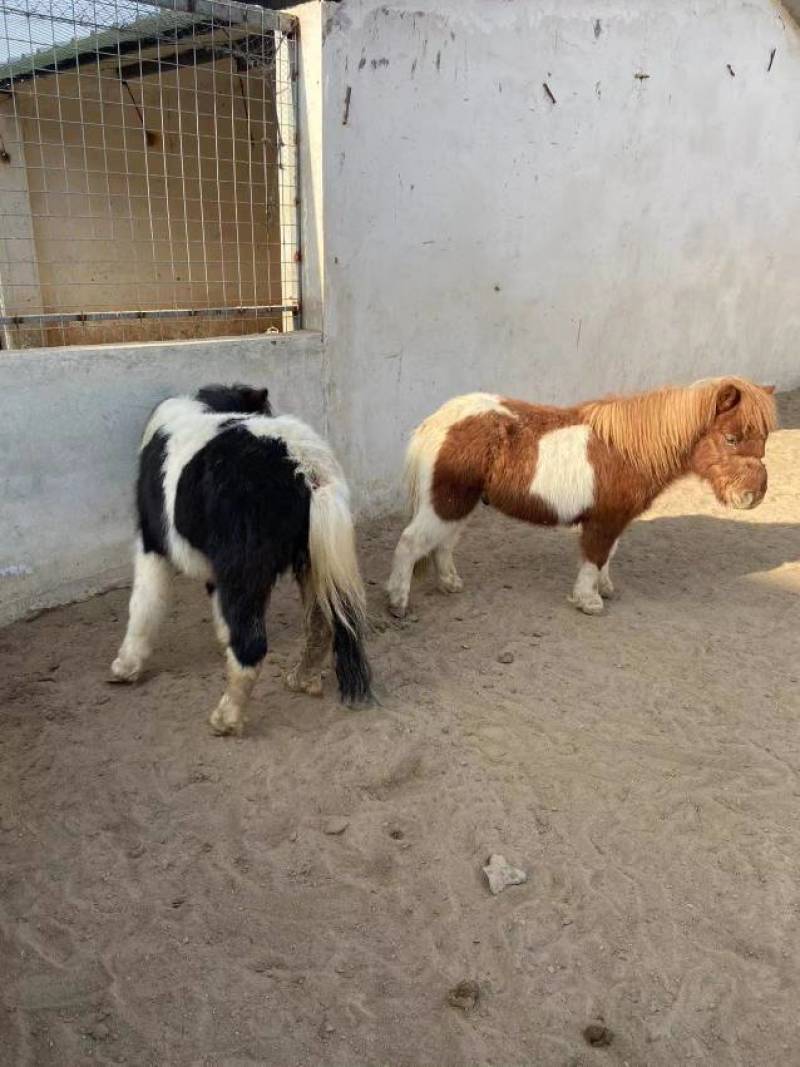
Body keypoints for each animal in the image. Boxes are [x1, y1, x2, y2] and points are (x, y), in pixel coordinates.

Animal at [110, 383, 372, 736]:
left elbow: (143, 605)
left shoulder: (152, 545)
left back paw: (226, 719)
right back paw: (300, 679)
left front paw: (126, 667)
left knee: (252, 645)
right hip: (310, 560)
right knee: (321, 622)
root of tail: (302, 464)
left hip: (245, 569)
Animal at [386, 378, 777, 618]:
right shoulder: (603, 521)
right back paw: (397, 603)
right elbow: (594, 556)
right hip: (447, 500)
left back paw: (450, 584)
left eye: (765, 440)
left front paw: (605, 588)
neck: (628, 451)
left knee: (442, 544)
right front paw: (588, 601)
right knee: (411, 542)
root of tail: (439, 420)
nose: (752, 497)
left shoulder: (615, 519)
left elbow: (608, 556)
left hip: (458, 502)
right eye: (731, 438)